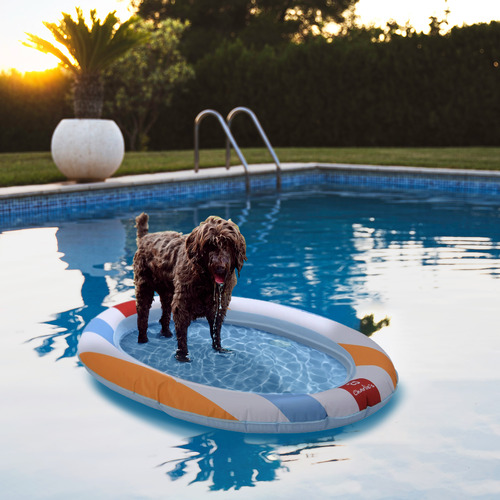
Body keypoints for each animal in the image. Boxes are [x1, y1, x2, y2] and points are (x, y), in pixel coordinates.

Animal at [133, 213, 246, 362]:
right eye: (210, 245)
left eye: (228, 245)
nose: (220, 268)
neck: (206, 280)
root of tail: (145, 237)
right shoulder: (182, 305)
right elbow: (182, 334)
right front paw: (182, 355)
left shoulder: (218, 307)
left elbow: (216, 331)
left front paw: (219, 349)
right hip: (144, 287)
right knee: (143, 314)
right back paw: (142, 339)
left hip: (167, 292)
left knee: (165, 314)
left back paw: (166, 333)